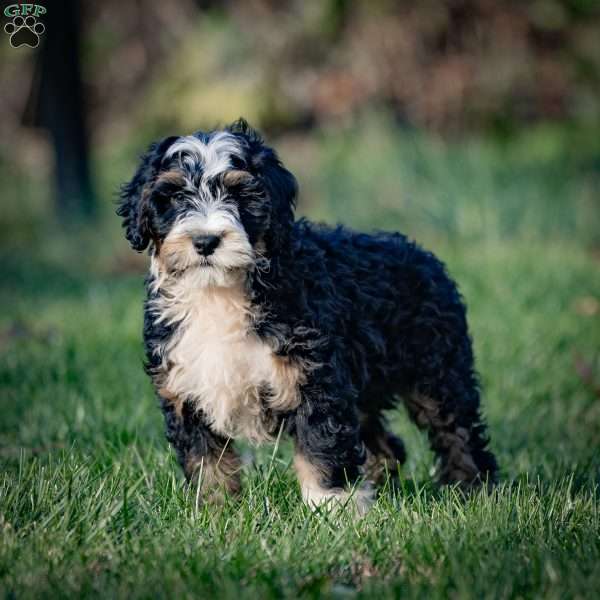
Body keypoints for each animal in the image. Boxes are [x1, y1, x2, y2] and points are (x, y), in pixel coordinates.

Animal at [117, 118, 496, 516]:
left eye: (238, 195)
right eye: (175, 197)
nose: (206, 241)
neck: (219, 292)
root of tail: (422, 254)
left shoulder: (313, 376)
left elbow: (321, 446)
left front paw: (333, 508)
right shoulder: (185, 388)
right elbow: (206, 460)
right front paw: (214, 511)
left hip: (435, 369)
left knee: (456, 429)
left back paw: (472, 488)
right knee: (384, 442)